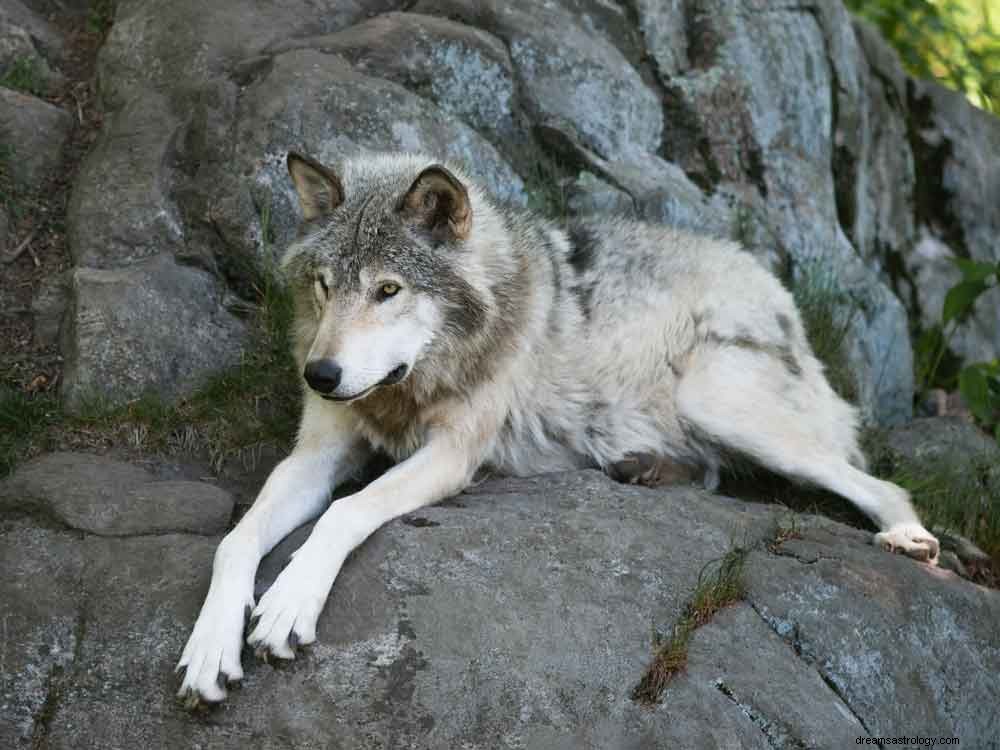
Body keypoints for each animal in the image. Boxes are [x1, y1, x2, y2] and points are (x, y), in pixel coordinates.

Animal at [178, 151, 936, 704]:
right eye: (326, 286)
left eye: (389, 290)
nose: (321, 375)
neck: (414, 383)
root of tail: (775, 286)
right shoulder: (316, 452)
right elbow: (236, 540)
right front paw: (210, 646)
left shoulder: (453, 455)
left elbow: (345, 512)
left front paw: (288, 604)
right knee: (715, 474)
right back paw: (644, 468)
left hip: (713, 400)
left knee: (879, 484)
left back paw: (908, 538)